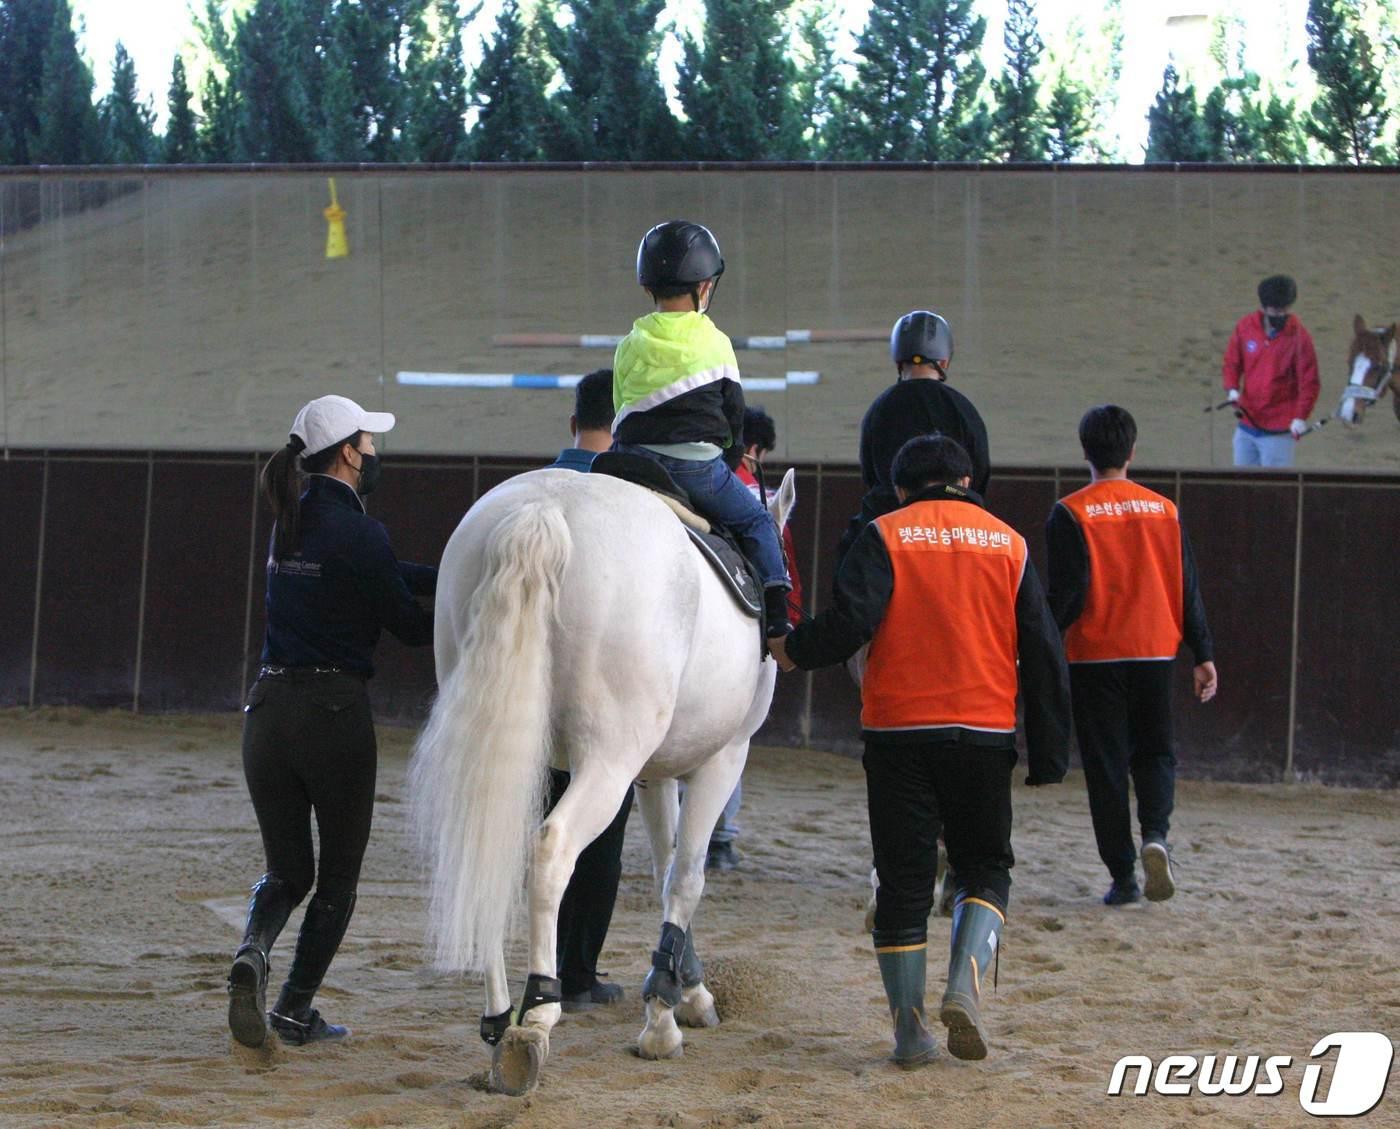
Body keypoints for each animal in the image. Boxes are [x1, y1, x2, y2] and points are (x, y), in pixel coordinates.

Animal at [408, 462, 795, 1098]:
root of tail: (544, 508)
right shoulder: (722, 759)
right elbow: (686, 877)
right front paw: (662, 1021)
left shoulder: (652, 775)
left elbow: (665, 871)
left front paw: (686, 991)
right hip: (608, 761)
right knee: (551, 849)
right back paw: (537, 1015)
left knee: (488, 850)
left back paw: (499, 1019)